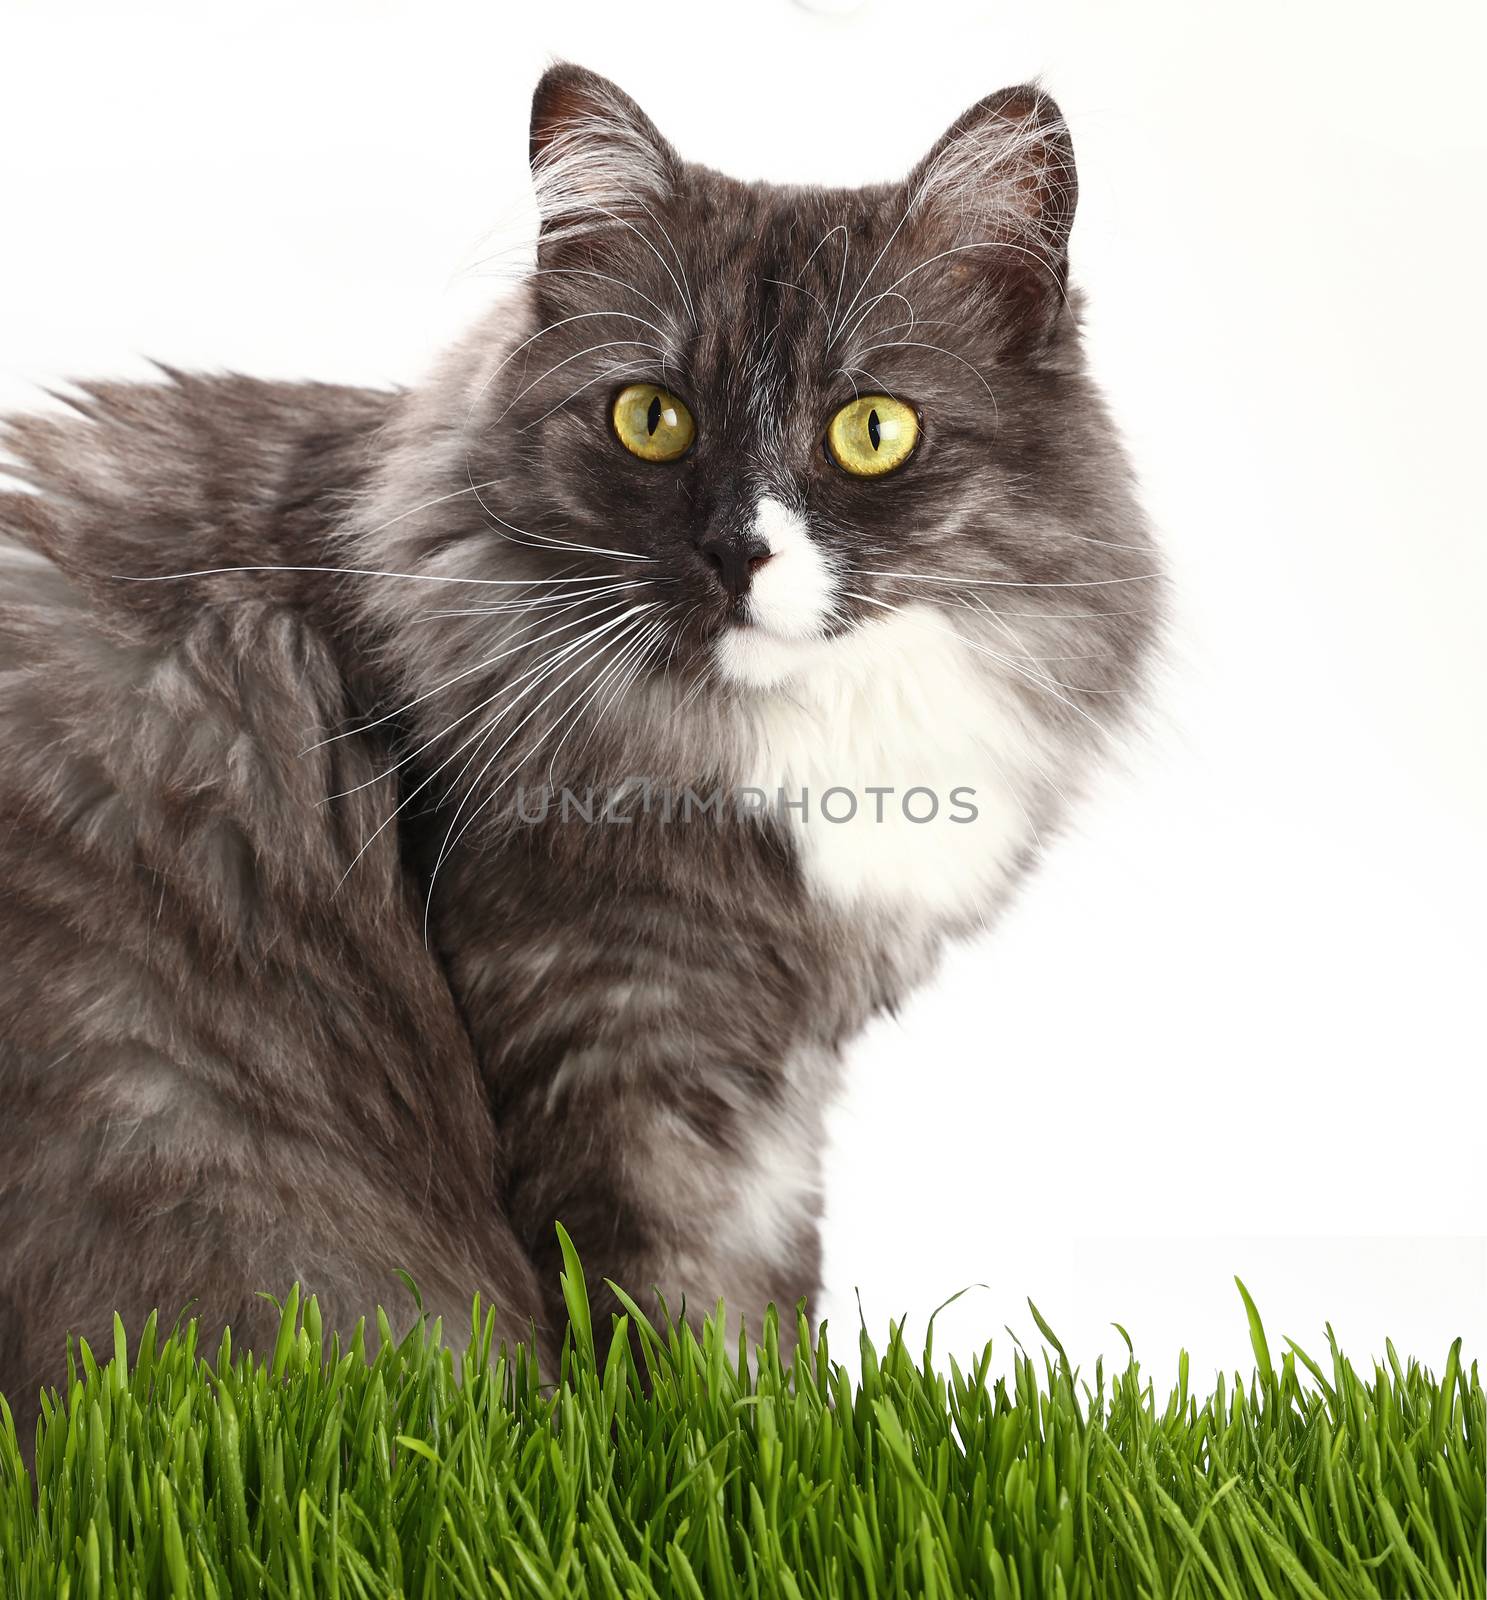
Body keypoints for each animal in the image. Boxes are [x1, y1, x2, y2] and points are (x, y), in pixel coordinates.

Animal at [0, 62, 1158, 1446]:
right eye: (650, 419)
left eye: (870, 430)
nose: (738, 549)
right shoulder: (606, 1028)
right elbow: (671, 1313)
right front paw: (703, 1452)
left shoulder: (768, 1080)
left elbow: (771, 1294)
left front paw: (799, 1431)